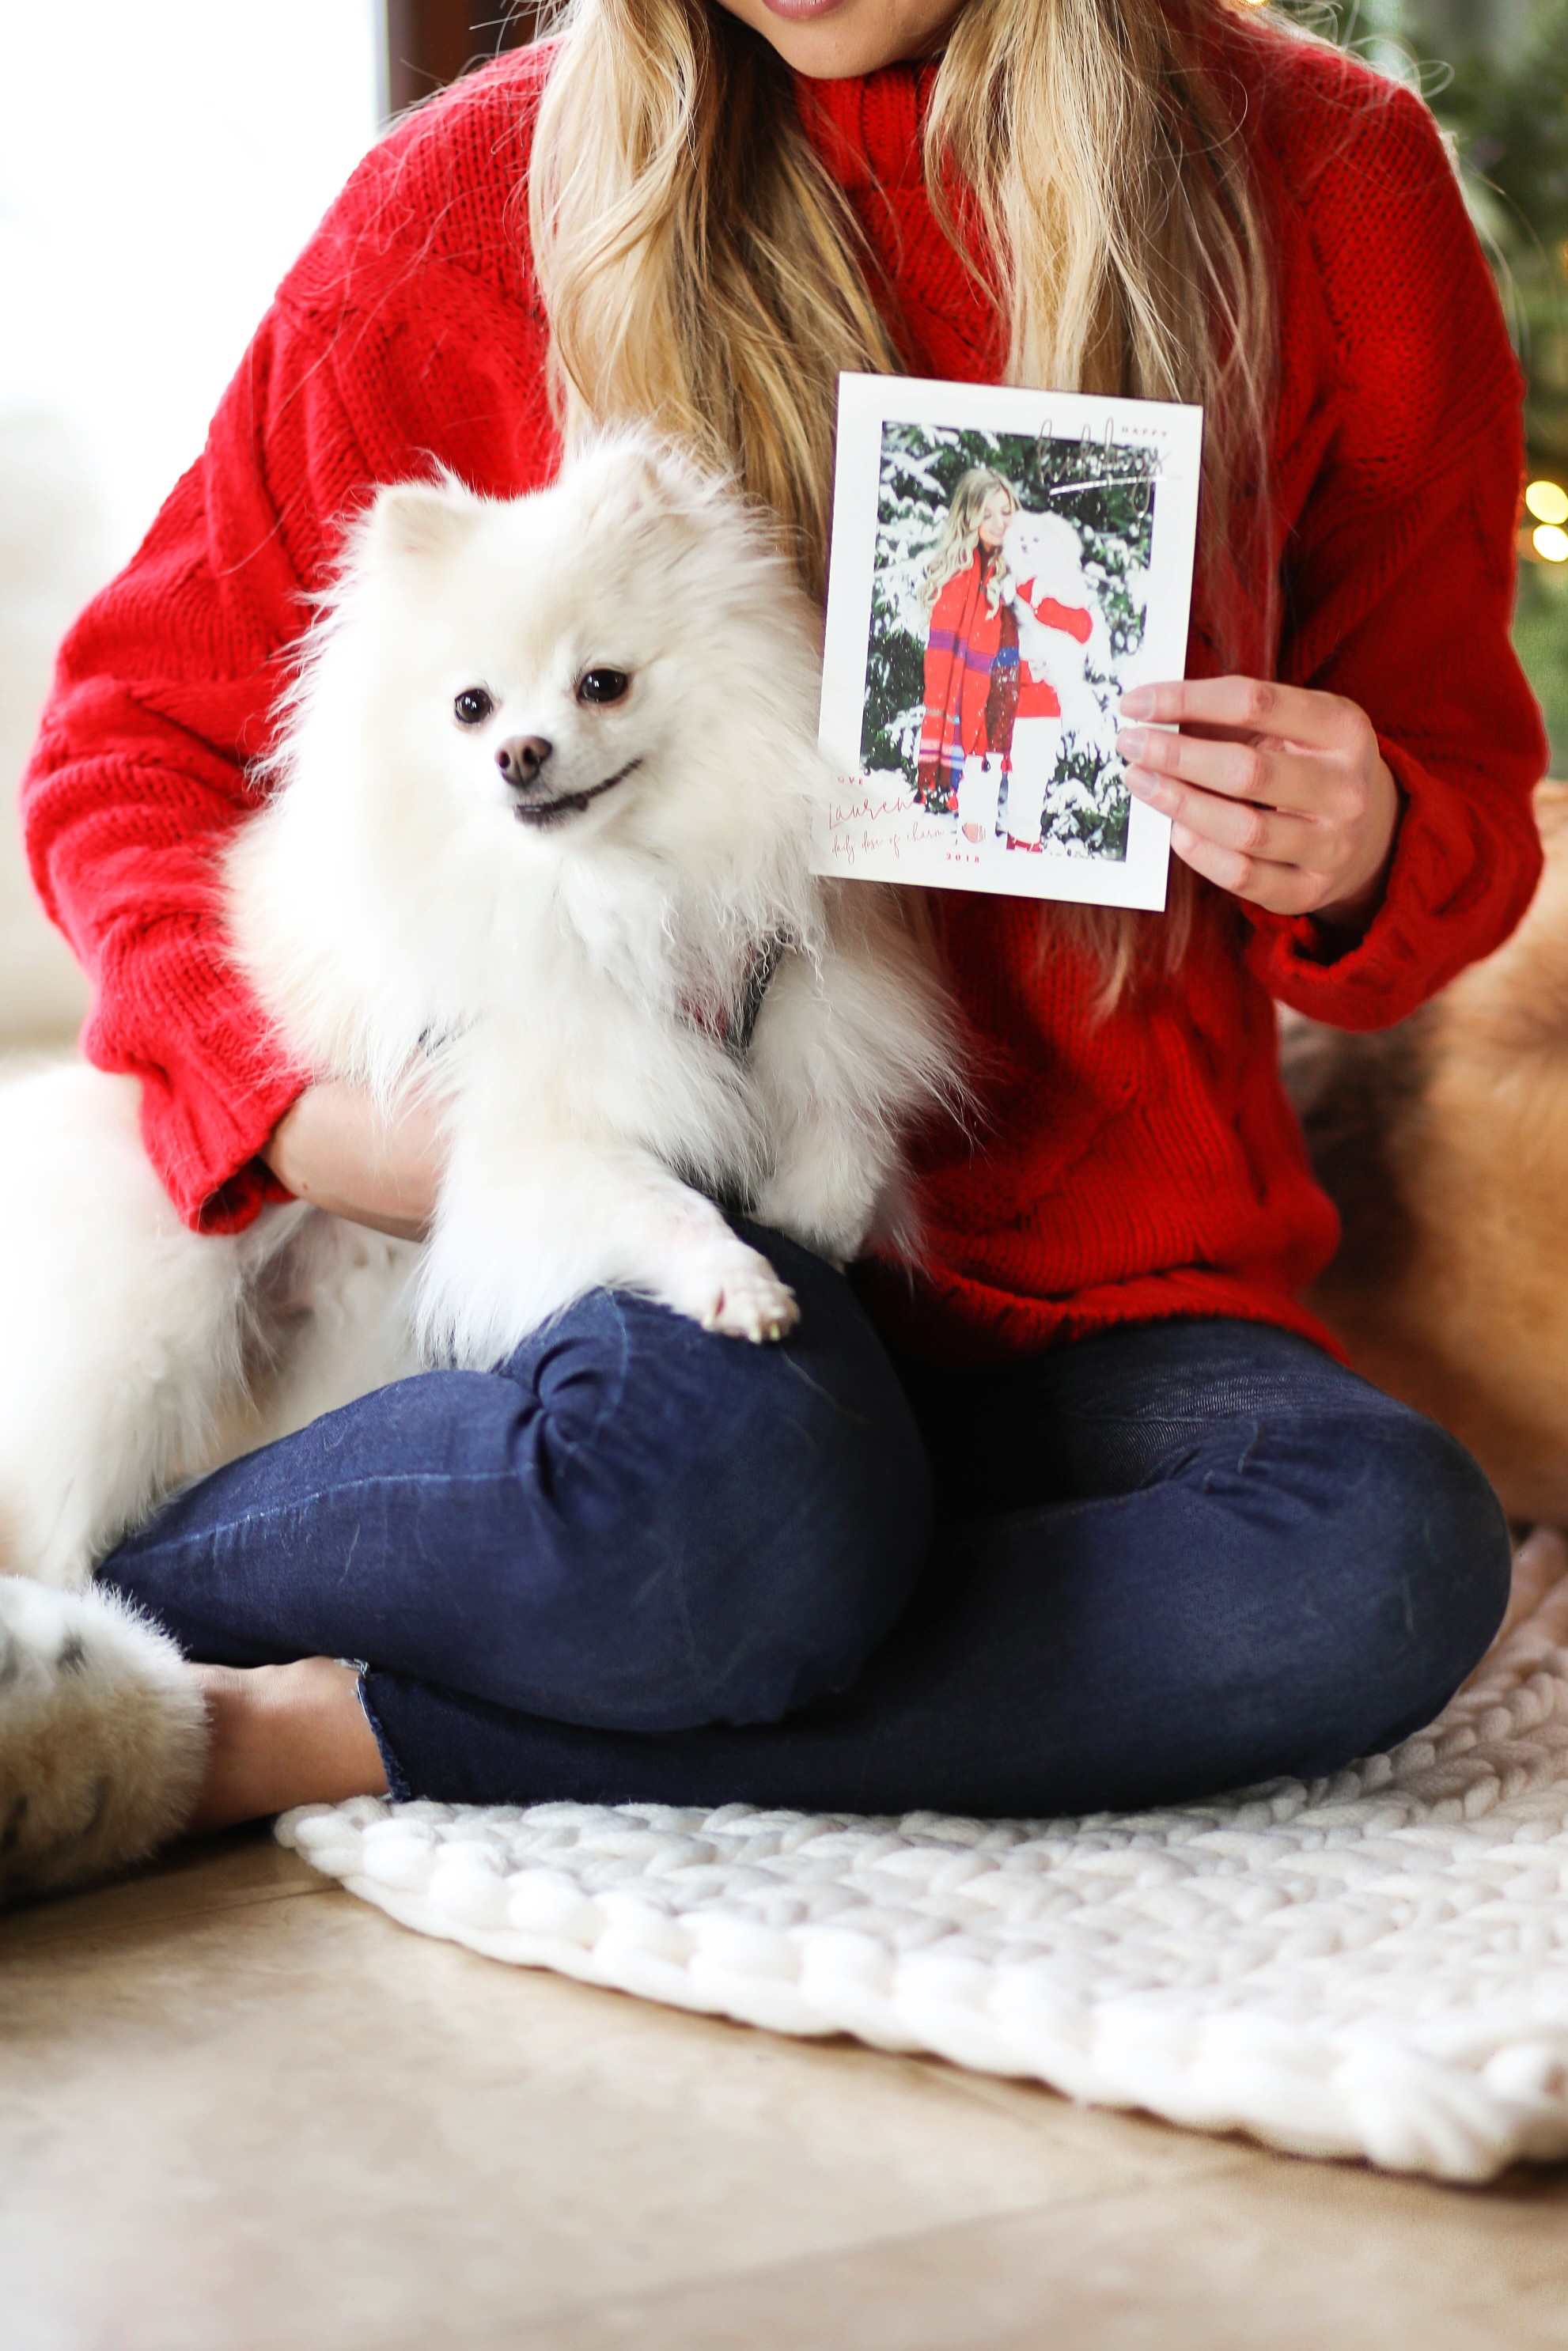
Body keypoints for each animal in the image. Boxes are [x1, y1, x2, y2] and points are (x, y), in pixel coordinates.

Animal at [0, 441, 964, 1890]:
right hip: (146, 1330)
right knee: (73, 1526)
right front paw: (737, 1281)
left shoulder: (804, 1000)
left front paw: (811, 1219)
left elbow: (837, 1128)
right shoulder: (545, 1131)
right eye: (469, 706)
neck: (615, 882)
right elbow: (653, 1200)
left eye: (602, 682)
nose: (520, 752)